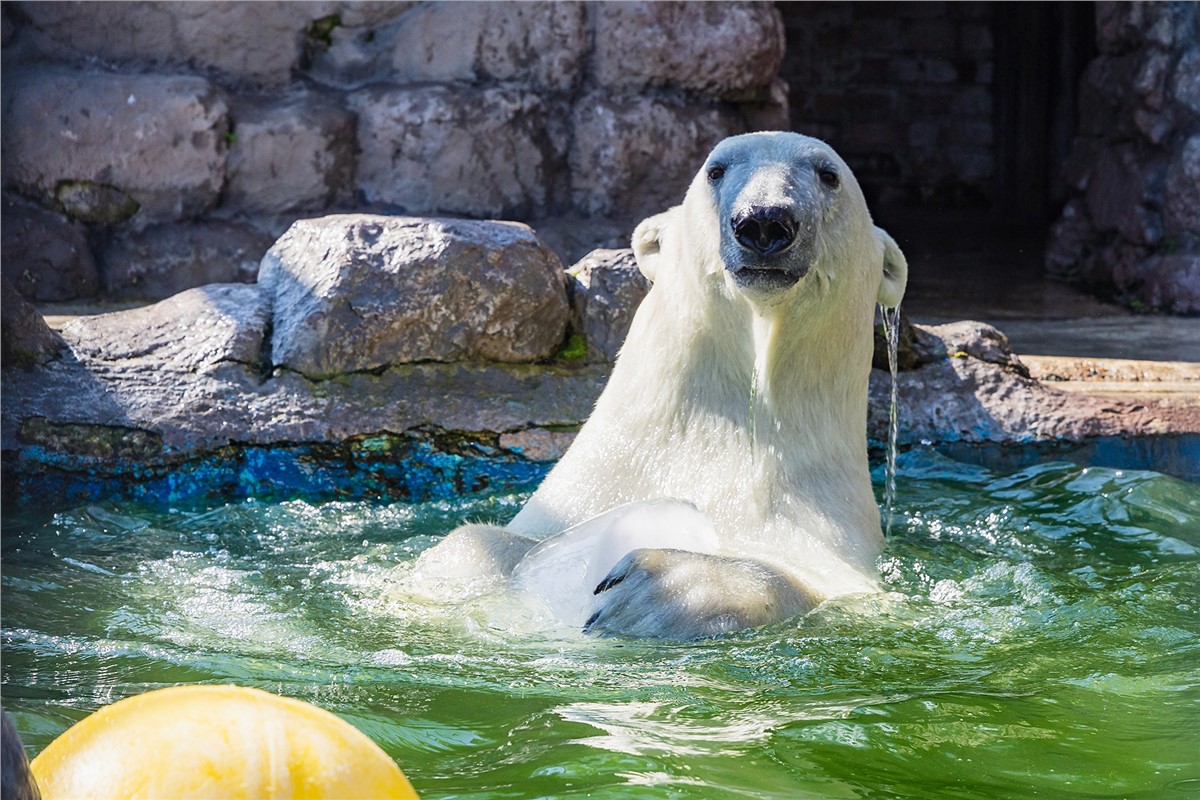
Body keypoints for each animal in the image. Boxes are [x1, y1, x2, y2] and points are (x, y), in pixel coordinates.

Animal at [415, 134, 907, 642]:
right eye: (716, 170)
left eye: (828, 175)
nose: (764, 221)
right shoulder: (586, 489)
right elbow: (473, 544)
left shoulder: (828, 538)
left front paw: (661, 588)